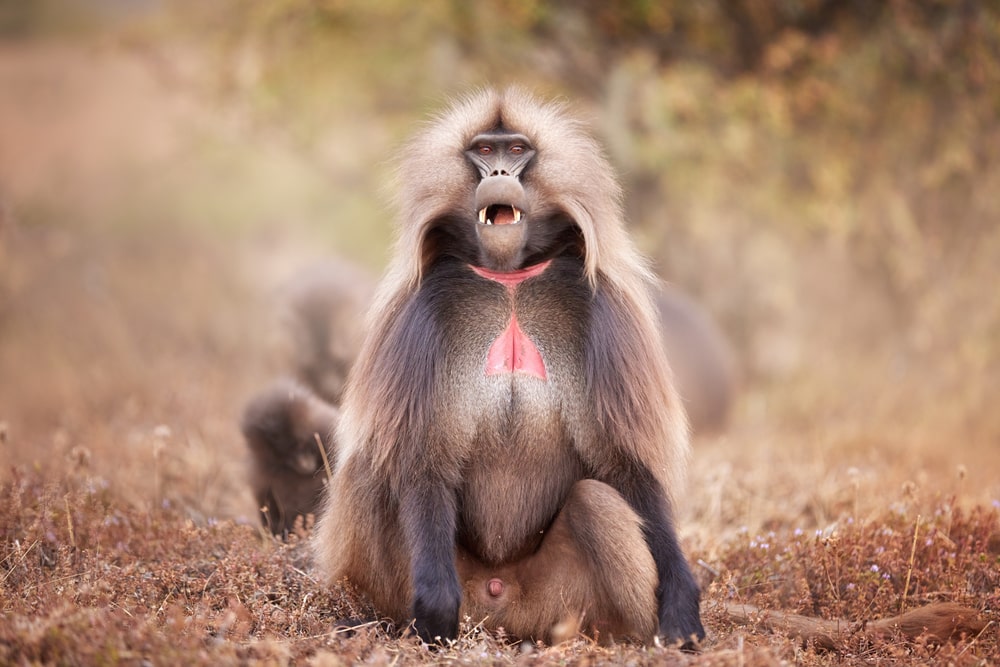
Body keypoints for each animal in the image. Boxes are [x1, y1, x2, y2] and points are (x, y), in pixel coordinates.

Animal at [311, 88, 706, 648]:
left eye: (517, 149)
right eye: (483, 150)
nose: (499, 171)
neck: (510, 279)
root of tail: (499, 607)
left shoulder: (603, 311)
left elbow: (624, 464)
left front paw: (681, 597)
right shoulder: (420, 312)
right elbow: (422, 454)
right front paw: (433, 604)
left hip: (554, 602)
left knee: (597, 501)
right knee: (374, 468)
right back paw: (386, 623)